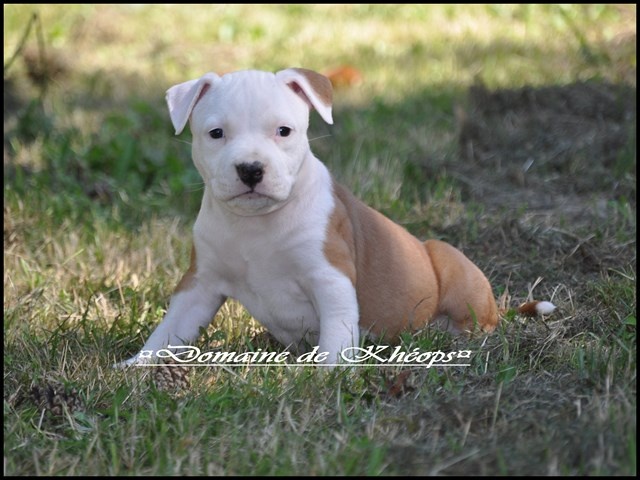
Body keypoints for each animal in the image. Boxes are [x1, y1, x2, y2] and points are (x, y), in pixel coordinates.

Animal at [117, 67, 503, 367]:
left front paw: (330, 374)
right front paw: (134, 365)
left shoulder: (329, 277)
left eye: (284, 131)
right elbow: (168, 331)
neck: (256, 225)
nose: (250, 169)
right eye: (216, 134)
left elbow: (336, 333)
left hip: (451, 266)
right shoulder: (200, 285)